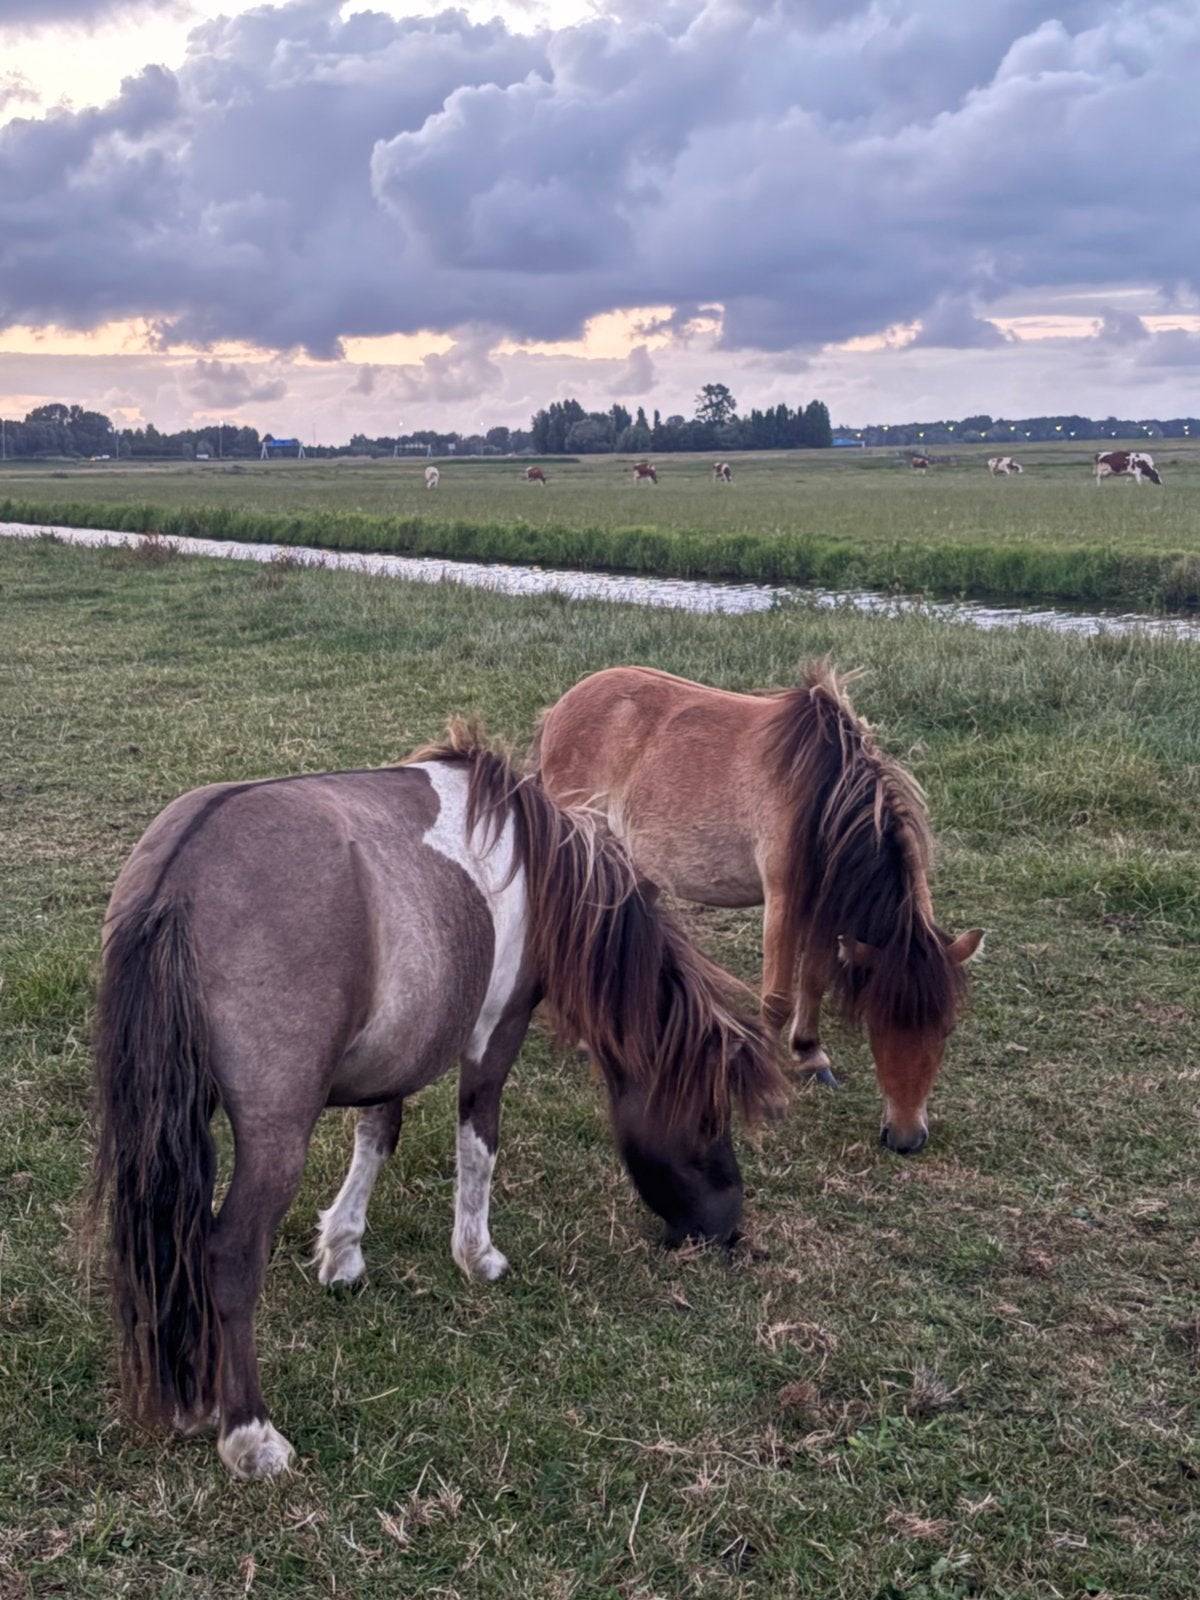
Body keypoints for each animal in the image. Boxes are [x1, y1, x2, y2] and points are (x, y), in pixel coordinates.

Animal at [91, 724, 783, 1479]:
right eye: (709, 1117)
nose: (726, 1227)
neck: (533, 857)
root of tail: (177, 886)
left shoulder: (393, 1047)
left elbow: (377, 1131)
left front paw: (343, 1252)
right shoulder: (494, 1033)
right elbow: (478, 1143)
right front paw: (476, 1255)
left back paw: (192, 1397)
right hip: (276, 1136)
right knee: (229, 1256)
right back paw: (249, 1432)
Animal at [534, 664, 983, 1156]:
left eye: (947, 1029)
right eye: (876, 1025)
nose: (906, 1138)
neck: (824, 797)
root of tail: (563, 706)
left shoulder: (822, 910)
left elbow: (813, 981)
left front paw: (810, 1055)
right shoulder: (783, 902)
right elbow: (777, 999)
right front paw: (770, 1089)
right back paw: (583, 1038)